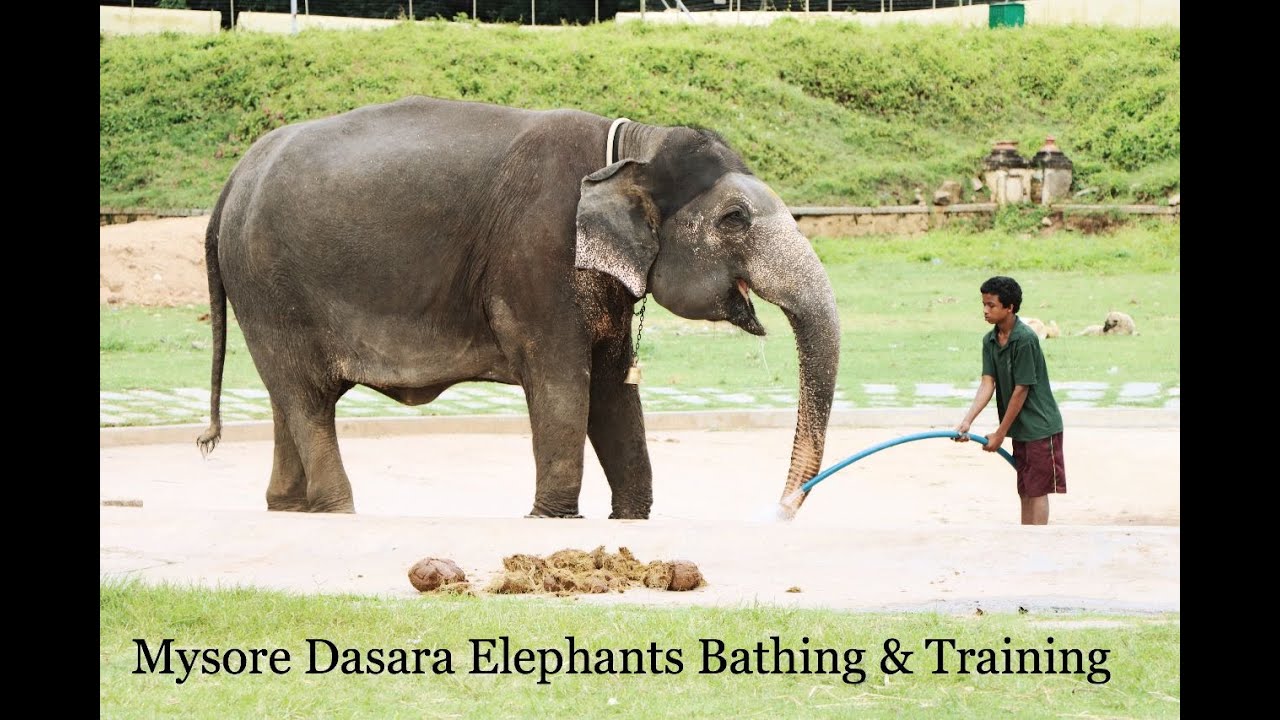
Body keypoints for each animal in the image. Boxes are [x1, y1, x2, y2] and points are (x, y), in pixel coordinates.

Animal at [196, 95, 839, 520]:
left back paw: (287, 507)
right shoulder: (538, 261)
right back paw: (337, 511)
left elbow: (613, 389)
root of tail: (232, 180)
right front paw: (552, 520)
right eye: (735, 218)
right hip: (270, 288)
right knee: (305, 399)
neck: (632, 146)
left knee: (287, 398)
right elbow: (564, 386)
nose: (783, 509)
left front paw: (630, 519)